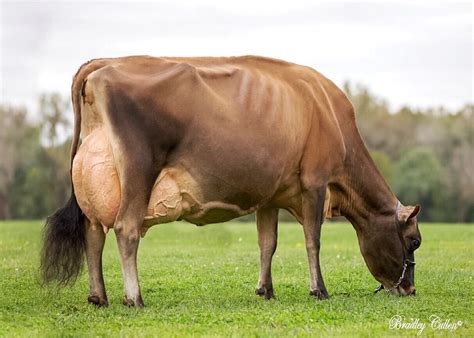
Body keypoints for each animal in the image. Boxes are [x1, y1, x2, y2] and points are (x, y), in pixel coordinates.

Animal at [39, 55, 420, 306]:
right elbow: (313, 241)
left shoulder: (271, 194)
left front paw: (265, 290)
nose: (410, 289)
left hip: (94, 176)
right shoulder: (315, 182)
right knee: (125, 229)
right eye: (414, 241)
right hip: (139, 168)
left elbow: (268, 243)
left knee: (93, 234)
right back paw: (134, 298)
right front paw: (319, 290)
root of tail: (103, 63)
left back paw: (98, 297)